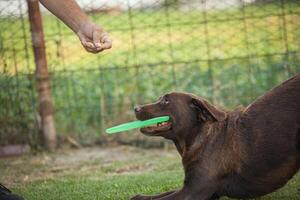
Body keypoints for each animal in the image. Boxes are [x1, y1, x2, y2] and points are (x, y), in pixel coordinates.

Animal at [132, 74, 300, 200]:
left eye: (166, 100)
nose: (135, 108)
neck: (198, 138)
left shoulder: (193, 191)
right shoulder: (192, 187)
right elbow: (158, 195)